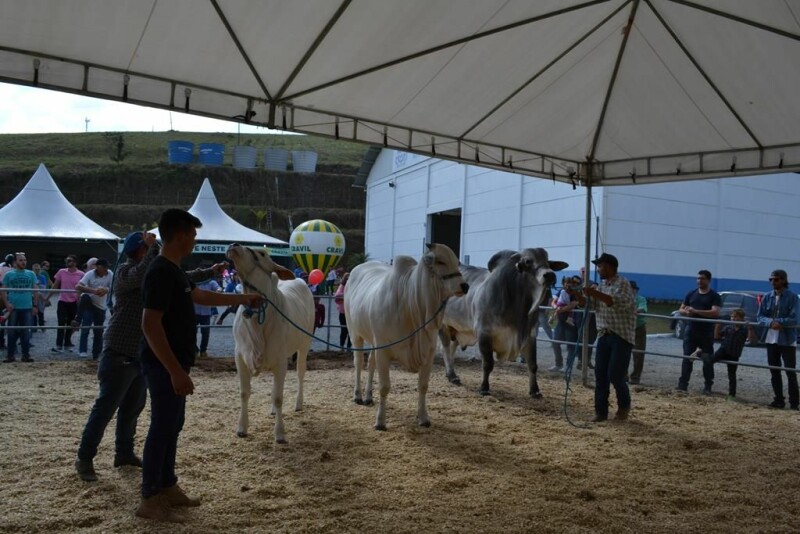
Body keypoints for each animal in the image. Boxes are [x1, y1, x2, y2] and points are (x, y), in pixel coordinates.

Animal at [225, 245, 316, 446]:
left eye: (262, 254)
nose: (234, 245)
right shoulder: (240, 356)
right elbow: (244, 393)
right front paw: (242, 428)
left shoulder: (281, 360)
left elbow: (279, 397)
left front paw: (280, 433)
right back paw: (273, 410)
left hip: (304, 344)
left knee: (300, 373)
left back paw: (298, 403)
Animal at [346, 245, 468, 434]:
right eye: (440, 261)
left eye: (457, 262)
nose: (465, 285)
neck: (410, 304)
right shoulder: (383, 351)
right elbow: (384, 387)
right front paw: (380, 422)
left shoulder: (428, 353)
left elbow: (423, 386)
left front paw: (423, 418)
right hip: (355, 333)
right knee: (358, 362)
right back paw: (358, 395)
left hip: (374, 341)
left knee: (371, 363)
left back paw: (368, 396)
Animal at [438, 248, 568, 398]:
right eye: (528, 261)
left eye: (548, 261)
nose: (549, 275)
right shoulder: (484, 333)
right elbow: (488, 364)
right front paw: (484, 388)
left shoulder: (530, 335)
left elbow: (533, 365)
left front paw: (535, 390)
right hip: (442, 325)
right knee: (446, 349)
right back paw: (452, 375)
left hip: (456, 328)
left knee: (451, 349)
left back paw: (450, 374)